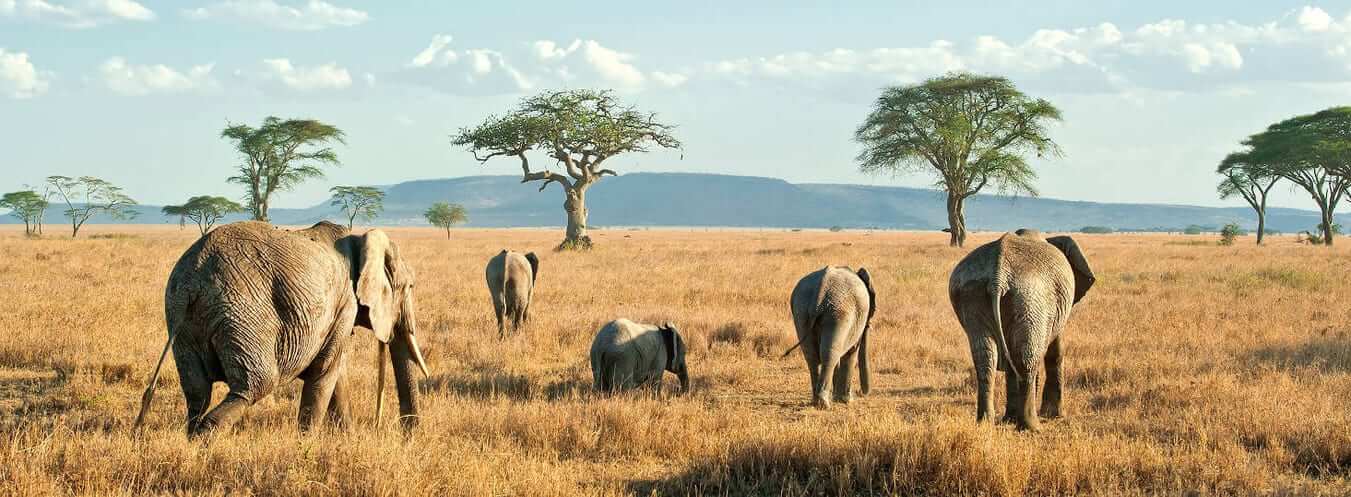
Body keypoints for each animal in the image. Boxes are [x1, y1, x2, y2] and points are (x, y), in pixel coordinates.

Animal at [131, 221, 426, 434]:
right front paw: (306, 444)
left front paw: (347, 439)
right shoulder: (344, 304)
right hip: (243, 313)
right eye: (409, 286)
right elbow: (324, 372)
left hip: (181, 319)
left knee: (197, 391)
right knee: (255, 384)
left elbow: (334, 373)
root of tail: (192, 280)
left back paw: (191, 439)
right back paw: (205, 441)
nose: (408, 435)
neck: (359, 240)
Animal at [788, 266, 880, 410]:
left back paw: (816, 401)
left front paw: (838, 398)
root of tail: (819, 293)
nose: (860, 392)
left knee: (812, 356)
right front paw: (847, 401)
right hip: (838, 313)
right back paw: (823, 404)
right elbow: (851, 352)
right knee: (830, 354)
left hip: (801, 311)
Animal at [951, 229, 1097, 432]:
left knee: (986, 358)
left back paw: (985, 424)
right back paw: (1031, 427)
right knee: (1027, 358)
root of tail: (998, 277)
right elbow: (1055, 351)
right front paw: (1053, 415)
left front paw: (1009, 419)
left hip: (973, 293)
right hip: (1030, 298)